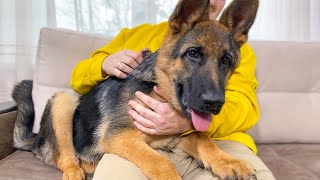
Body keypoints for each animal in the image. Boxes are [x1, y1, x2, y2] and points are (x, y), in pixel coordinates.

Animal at [11, 0, 258, 179]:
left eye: (226, 61)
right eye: (193, 53)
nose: (214, 104)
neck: (158, 88)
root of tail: (37, 139)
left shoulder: (174, 137)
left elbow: (202, 137)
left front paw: (227, 162)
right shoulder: (120, 137)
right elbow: (162, 162)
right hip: (64, 101)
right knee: (66, 160)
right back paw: (75, 172)